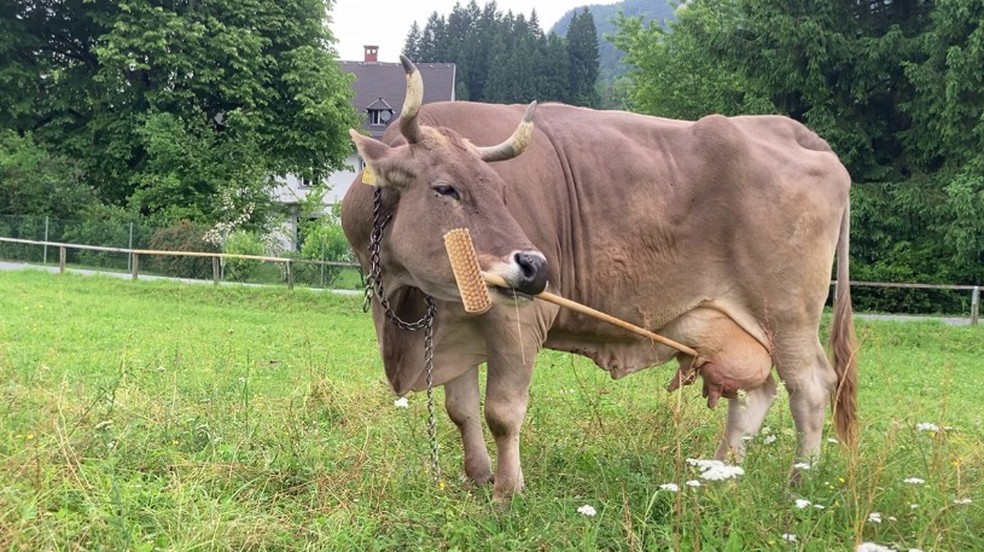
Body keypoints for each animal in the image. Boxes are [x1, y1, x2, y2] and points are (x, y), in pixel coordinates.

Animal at [341, 56, 858, 501]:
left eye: (503, 191)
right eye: (445, 187)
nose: (537, 267)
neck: (405, 301)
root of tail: (794, 131)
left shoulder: (518, 322)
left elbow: (502, 414)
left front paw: (507, 493)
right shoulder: (455, 324)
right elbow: (461, 411)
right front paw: (478, 480)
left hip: (787, 315)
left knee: (811, 389)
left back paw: (799, 486)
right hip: (731, 327)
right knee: (756, 393)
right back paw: (719, 475)